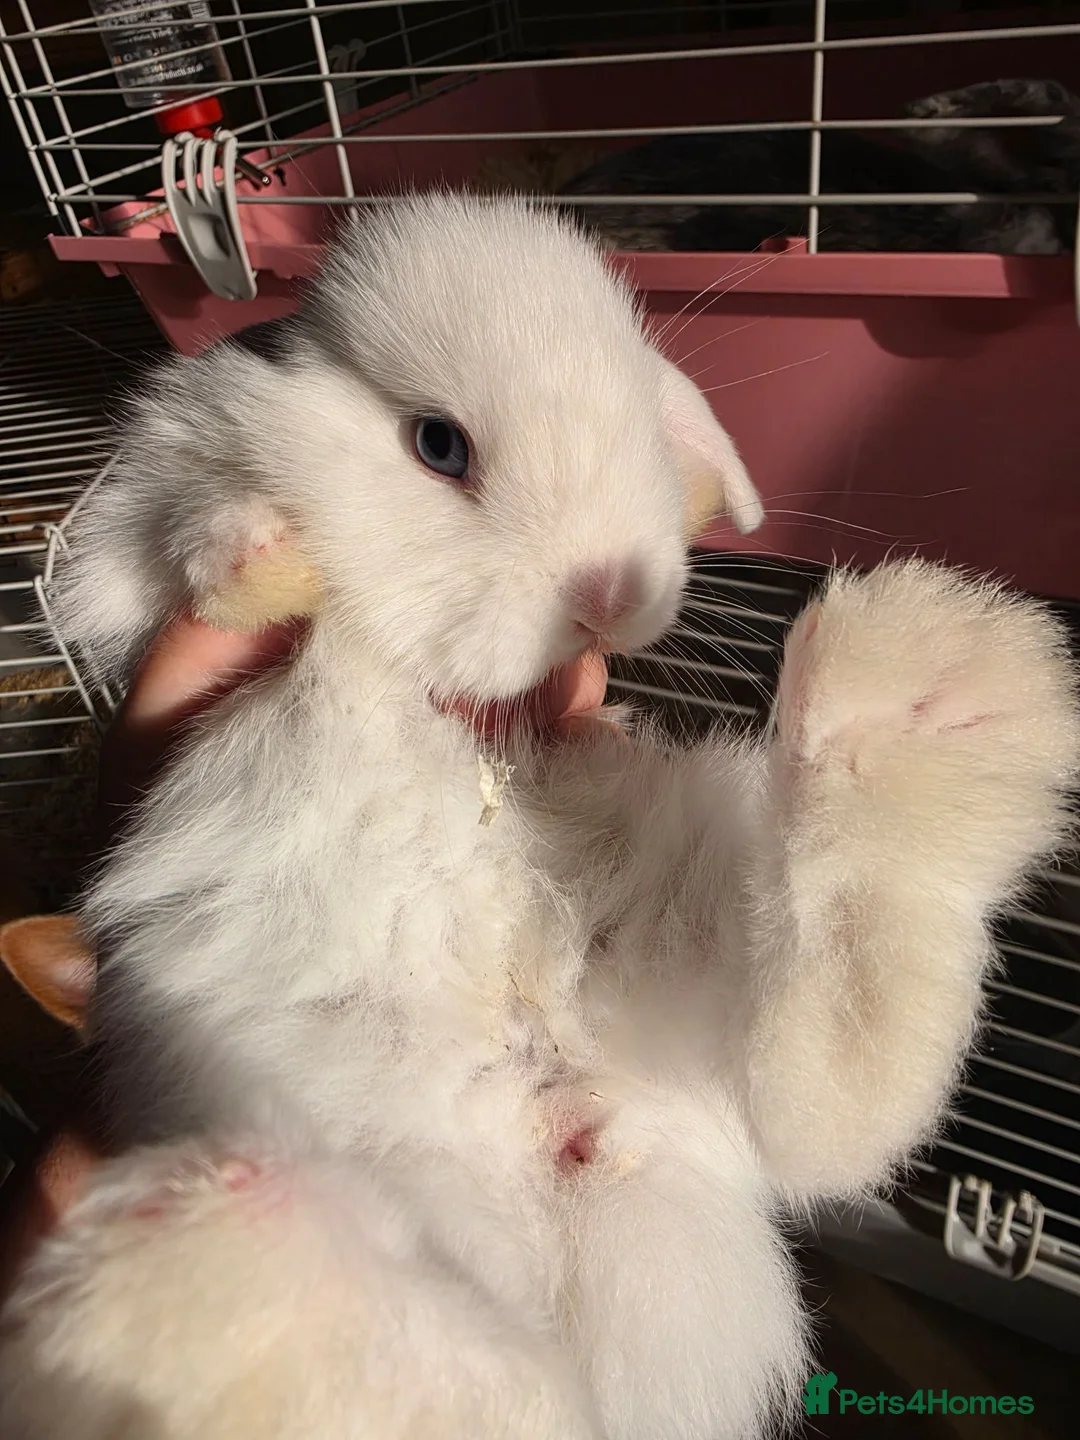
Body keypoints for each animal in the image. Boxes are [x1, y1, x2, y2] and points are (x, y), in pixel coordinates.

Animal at [0, 191, 1076, 1440]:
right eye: (439, 446)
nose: (606, 592)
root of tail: (564, 1130)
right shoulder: (156, 502)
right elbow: (189, 539)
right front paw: (267, 554)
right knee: (499, 1383)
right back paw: (223, 1296)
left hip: (684, 946)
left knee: (827, 1089)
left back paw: (927, 698)